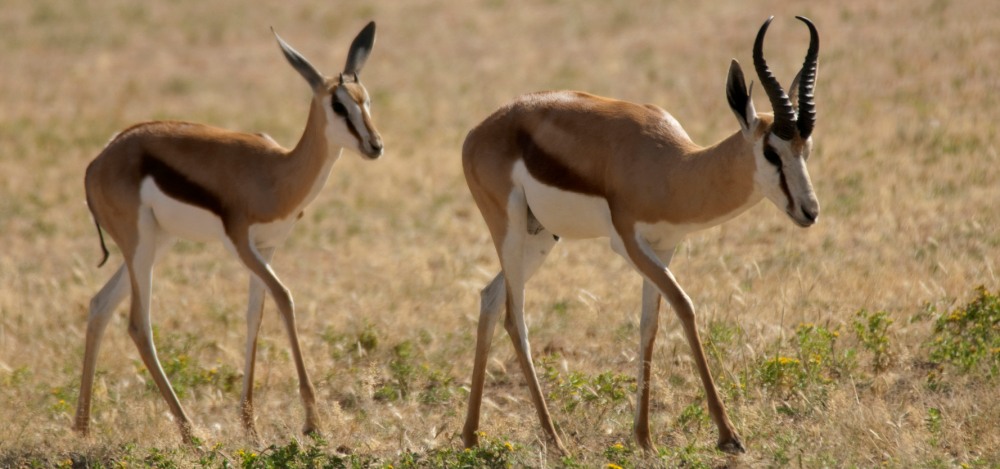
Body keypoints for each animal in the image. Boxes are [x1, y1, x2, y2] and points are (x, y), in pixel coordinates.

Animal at [75, 21, 382, 442]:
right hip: (140, 246)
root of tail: (97, 162)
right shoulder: (241, 245)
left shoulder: (267, 249)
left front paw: (250, 425)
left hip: (156, 243)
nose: (375, 146)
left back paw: (83, 427)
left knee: (100, 305)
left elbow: (256, 315)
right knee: (139, 324)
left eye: (365, 99)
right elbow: (285, 299)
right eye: (338, 105)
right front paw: (312, 422)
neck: (276, 173)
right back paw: (191, 434)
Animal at [460, 16, 820, 452]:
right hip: (510, 229)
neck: (672, 167)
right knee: (516, 318)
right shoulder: (629, 244)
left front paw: (644, 438)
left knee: (490, 297)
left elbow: (650, 324)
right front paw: (728, 435)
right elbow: (685, 306)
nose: (810, 211)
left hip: (540, 237)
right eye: (771, 152)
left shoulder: (664, 248)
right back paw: (554, 439)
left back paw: (471, 436)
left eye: (806, 149)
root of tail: (476, 132)